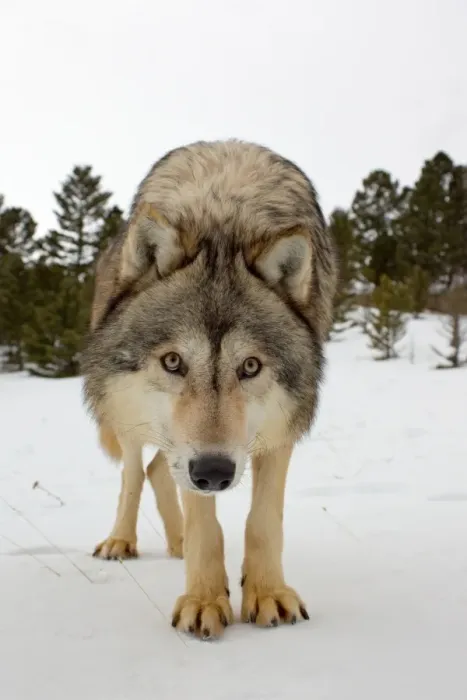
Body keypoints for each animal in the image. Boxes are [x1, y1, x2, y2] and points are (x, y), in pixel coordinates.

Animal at [80, 139, 337, 640]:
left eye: (250, 366)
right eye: (173, 361)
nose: (215, 472)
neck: (225, 221)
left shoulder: (279, 429)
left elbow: (264, 521)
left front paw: (268, 593)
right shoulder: (190, 453)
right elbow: (204, 523)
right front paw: (204, 600)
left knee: (158, 469)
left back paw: (176, 542)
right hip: (128, 417)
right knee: (135, 473)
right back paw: (121, 541)